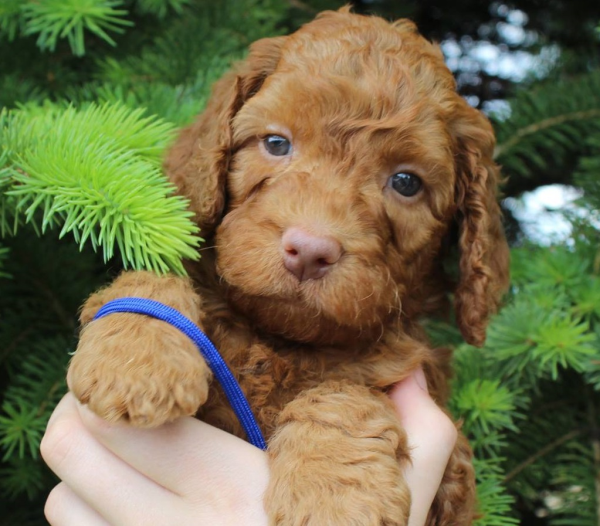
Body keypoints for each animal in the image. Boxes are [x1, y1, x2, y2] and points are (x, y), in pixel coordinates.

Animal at [68, 8, 508, 526]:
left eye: (406, 182)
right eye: (277, 143)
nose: (311, 251)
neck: (279, 340)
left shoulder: (448, 467)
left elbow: (348, 392)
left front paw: (335, 493)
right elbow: (155, 273)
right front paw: (137, 359)